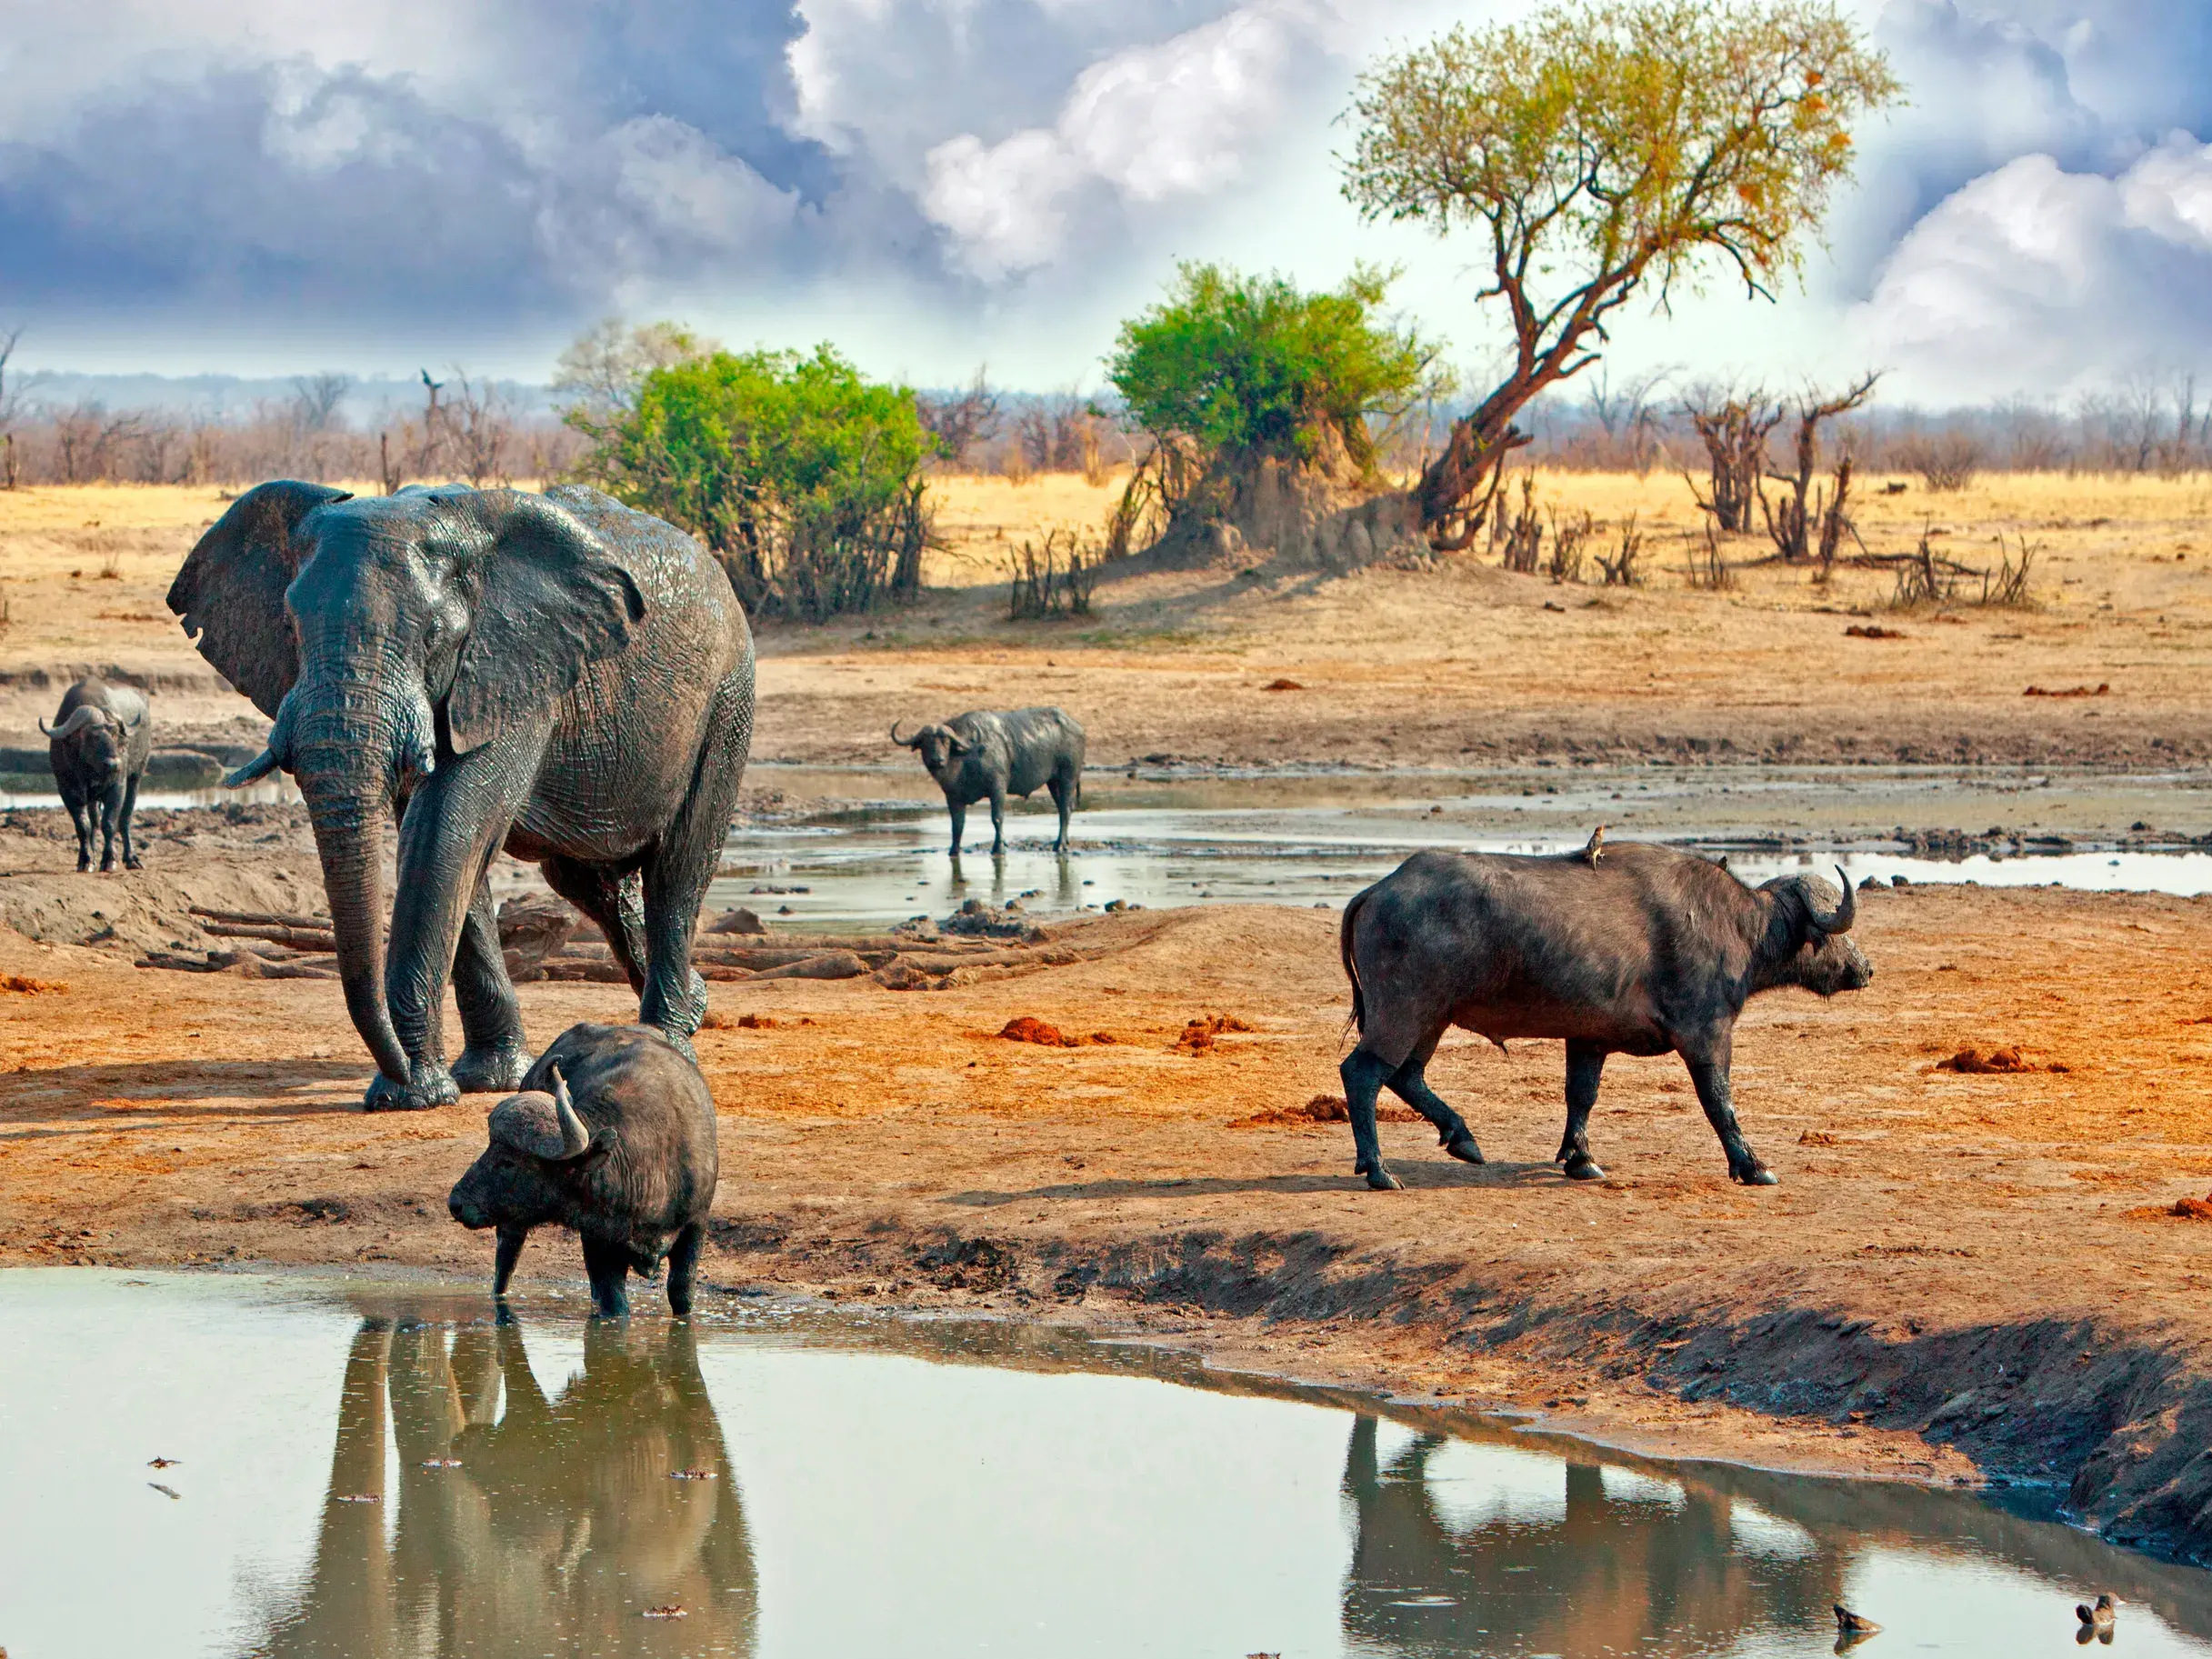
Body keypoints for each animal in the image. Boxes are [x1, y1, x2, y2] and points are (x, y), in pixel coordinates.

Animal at [167, 480, 754, 1111]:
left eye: (433, 636)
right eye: (293, 627)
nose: (398, 1072)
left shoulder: (514, 669)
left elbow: (447, 828)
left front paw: (413, 1096)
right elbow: (446, 844)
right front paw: (478, 1082)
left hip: (726, 702)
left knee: (678, 871)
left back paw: (670, 1044)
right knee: (588, 882)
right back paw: (692, 1006)